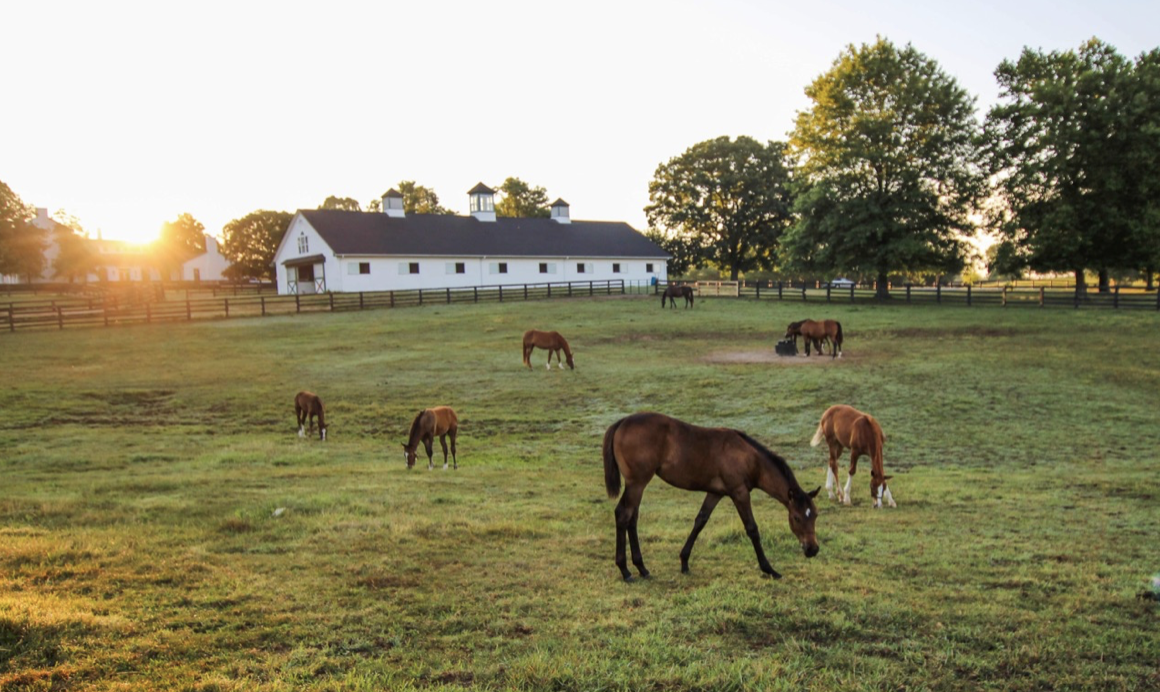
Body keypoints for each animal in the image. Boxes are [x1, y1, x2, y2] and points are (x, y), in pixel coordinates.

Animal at [603, 412, 821, 579]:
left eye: (815, 515)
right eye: (796, 517)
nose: (813, 549)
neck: (749, 458)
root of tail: (622, 422)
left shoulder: (715, 493)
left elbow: (700, 521)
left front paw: (684, 562)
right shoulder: (739, 493)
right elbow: (752, 529)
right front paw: (769, 569)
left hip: (636, 485)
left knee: (631, 517)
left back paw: (641, 568)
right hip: (637, 483)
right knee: (624, 515)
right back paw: (625, 570)